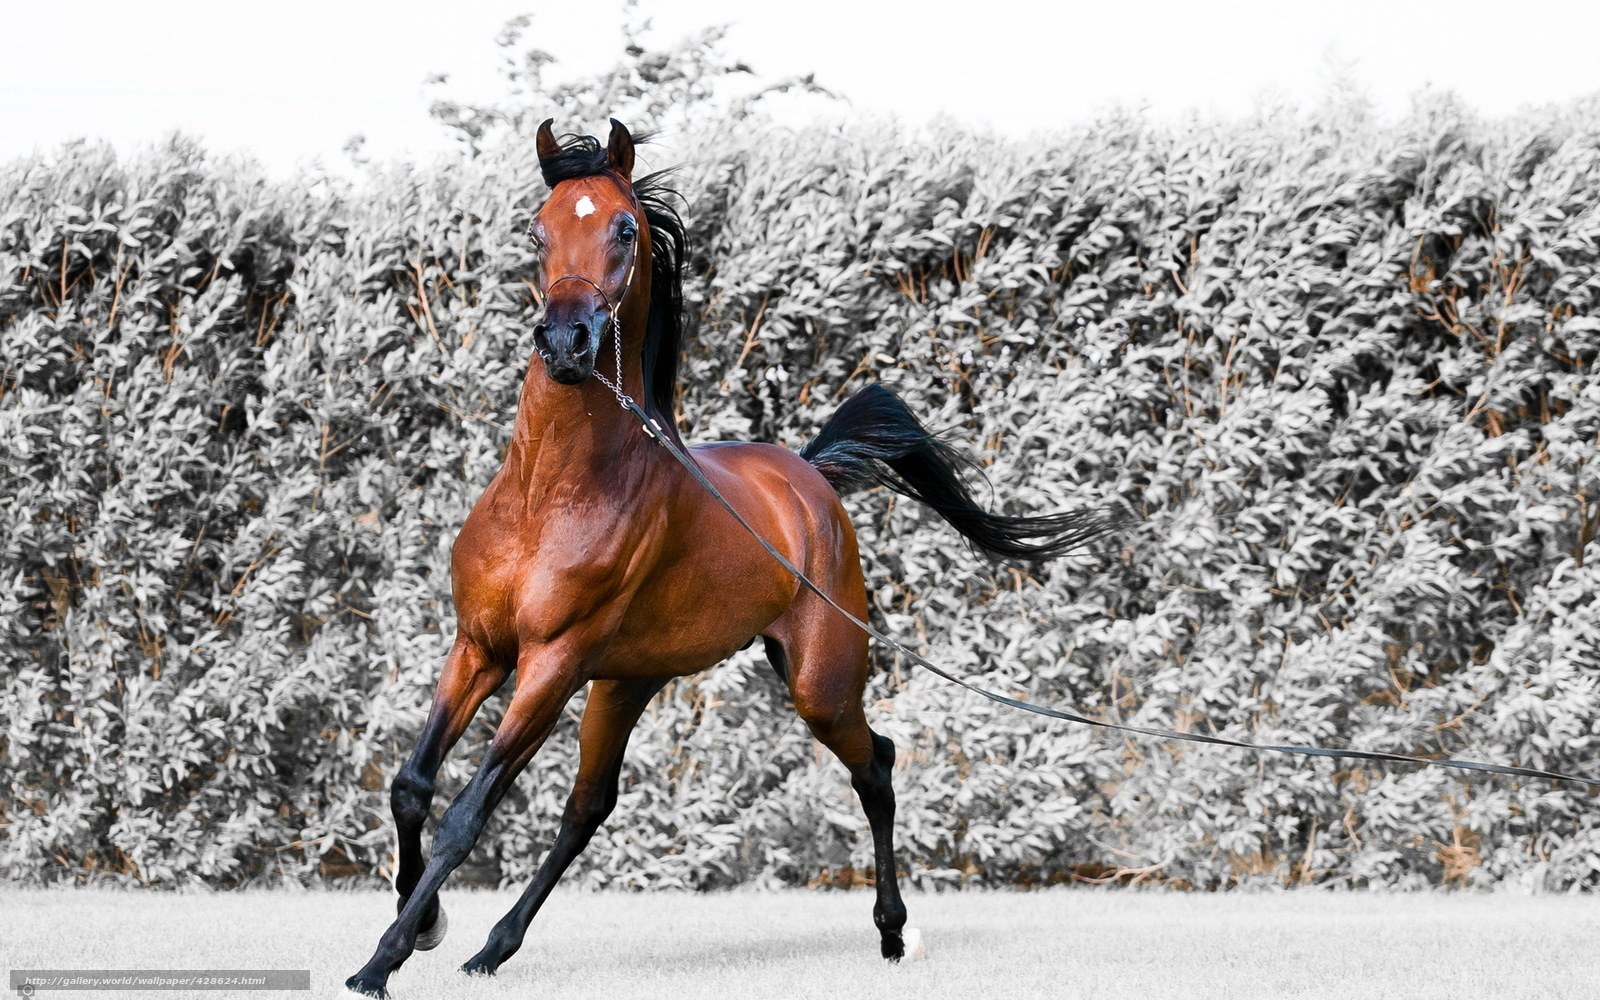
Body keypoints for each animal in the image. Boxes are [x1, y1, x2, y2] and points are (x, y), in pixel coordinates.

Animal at [344, 118, 1109, 997]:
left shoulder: (548, 663)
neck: (548, 494)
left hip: (817, 682)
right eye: (536, 230)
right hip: (626, 682)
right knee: (589, 806)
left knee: (875, 766)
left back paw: (893, 933)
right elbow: (412, 786)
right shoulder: (478, 646)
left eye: (625, 229)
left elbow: (466, 815)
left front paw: (382, 959)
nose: (567, 342)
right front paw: (426, 924)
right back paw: (491, 948)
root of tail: (811, 476)